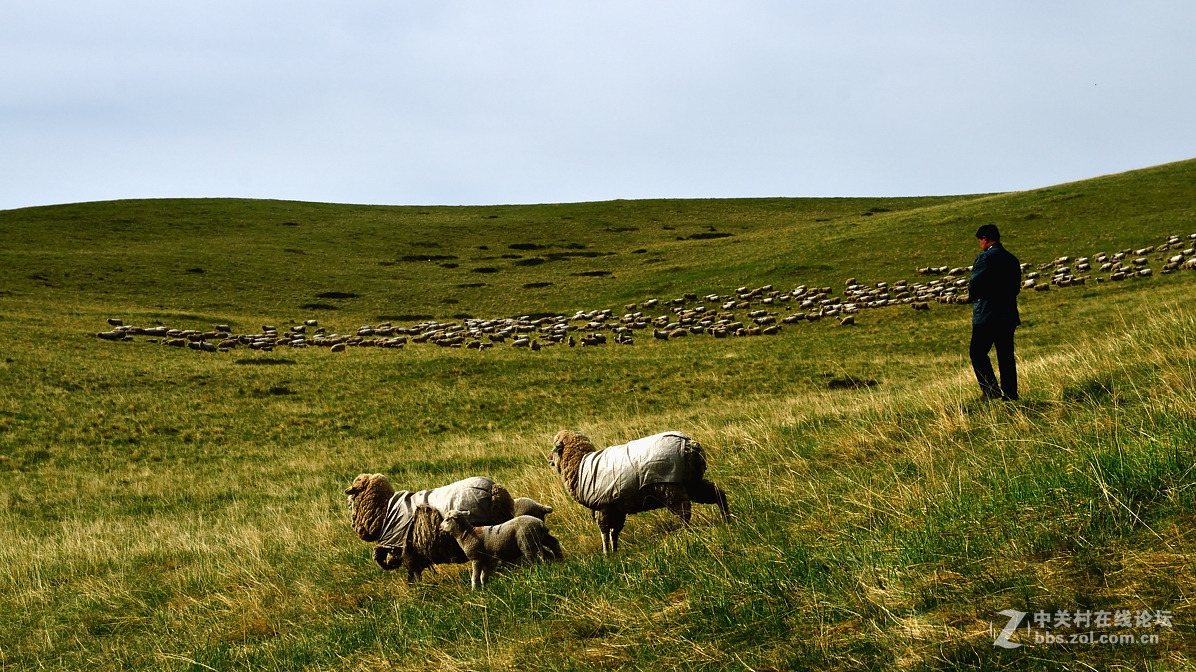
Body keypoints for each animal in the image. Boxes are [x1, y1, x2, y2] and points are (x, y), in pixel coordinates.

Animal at [545, 425, 727, 552]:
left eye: (554, 446)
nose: (548, 459)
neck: (580, 465)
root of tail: (689, 443)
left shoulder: (603, 507)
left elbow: (605, 532)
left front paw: (606, 554)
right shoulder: (616, 508)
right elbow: (615, 532)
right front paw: (615, 552)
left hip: (671, 487)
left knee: (684, 513)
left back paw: (686, 532)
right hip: (691, 482)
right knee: (717, 492)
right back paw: (727, 519)